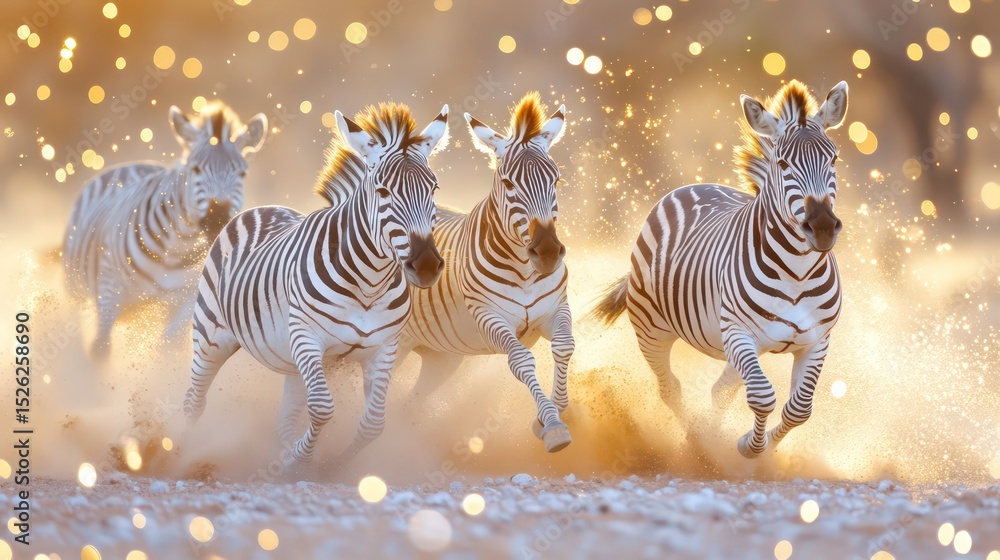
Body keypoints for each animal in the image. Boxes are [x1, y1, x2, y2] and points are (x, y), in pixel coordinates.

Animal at [63, 102, 268, 360]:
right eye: (196, 169)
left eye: (242, 174)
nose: (217, 219)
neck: (179, 246)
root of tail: (132, 165)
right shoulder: (109, 285)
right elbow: (101, 347)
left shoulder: (189, 299)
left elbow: (166, 345)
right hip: (76, 289)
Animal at [183, 102, 449, 464]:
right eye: (382, 191)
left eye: (433, 188)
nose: (426, 265)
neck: (370, 284)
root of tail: (264, 207)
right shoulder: (307, 337)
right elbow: (322, 409)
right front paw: (300, 462)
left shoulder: (384, 347)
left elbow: (374, 423)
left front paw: (330, 466)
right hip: (212, 338)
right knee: (194, 401)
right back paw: (176, 449)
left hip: (294, 365)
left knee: (284, 419)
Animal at [399, 93, 573, 453]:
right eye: (508, 184)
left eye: (556, 179)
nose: (548, 253)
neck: (525, 272)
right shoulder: (489, 316)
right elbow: (521, 361)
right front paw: (551, 425)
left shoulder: (556, 309)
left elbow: (565, 346)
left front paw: (552, 414)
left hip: (440, 359)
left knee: (402, 406)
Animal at [593, 80, 848, 458]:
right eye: (783, 162)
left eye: (833, 158)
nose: (822, 228)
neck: (798, 274)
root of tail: (695, 185)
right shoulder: (739, 333)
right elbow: (762, 397)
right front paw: (749, 447)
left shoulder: (816, 341)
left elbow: (799, 409)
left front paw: (764, 451)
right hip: (651, 329)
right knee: (670, 389)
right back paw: (698, 446)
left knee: (719, 391)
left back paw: (710, 443)